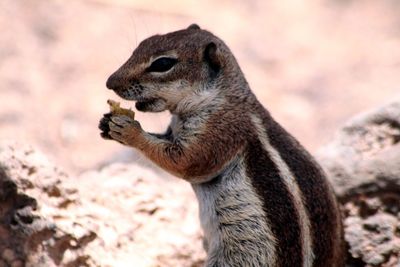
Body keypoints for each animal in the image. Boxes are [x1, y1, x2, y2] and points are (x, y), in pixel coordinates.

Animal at [99, 24, 344, 266]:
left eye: (163, 64)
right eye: (142, 44)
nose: (110, 82)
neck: (219, 98)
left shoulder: (222, 132)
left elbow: (185, 162)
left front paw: (130, 130)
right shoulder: (173, 131)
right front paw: (106, 124)